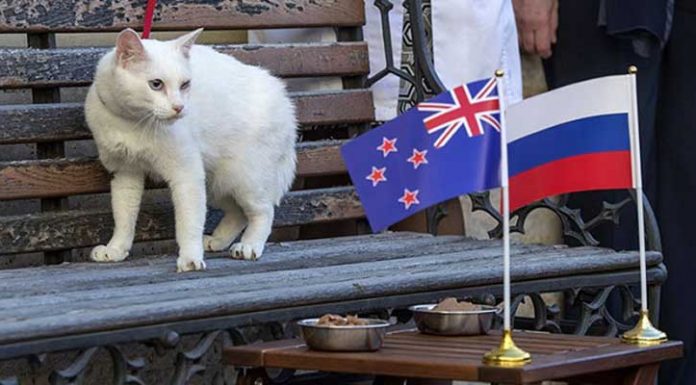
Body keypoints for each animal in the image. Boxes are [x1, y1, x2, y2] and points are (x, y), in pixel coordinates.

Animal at [84, 28, 296, 272]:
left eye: (185, 84)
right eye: (156, 84)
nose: (179, 107)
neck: (134, 122)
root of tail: (285, 101)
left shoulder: (186, 174)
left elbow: (188, 223)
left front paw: (190, 258)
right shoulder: (125, 174)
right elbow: (124, 216)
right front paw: (116, 249)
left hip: (245, 180)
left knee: (263, 211)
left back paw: (249, 246)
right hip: (216, 182)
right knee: (238, 213)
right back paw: (217, 241)